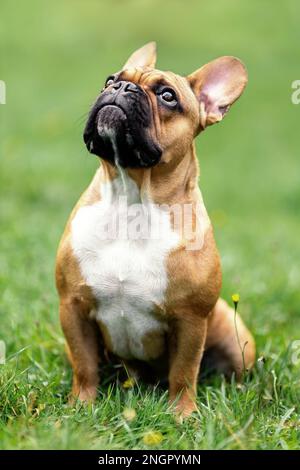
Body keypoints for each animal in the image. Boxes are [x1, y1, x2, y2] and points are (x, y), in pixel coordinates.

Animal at [55, 43, 254, 418]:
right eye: (110, 79)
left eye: (167, 96)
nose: (121, 88)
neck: (130, 202)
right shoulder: (73, 306)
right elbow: (84, 365)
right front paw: (80, 406)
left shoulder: (190, 320)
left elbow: (184, 372)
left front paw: (182, 414)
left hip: (235, 340)